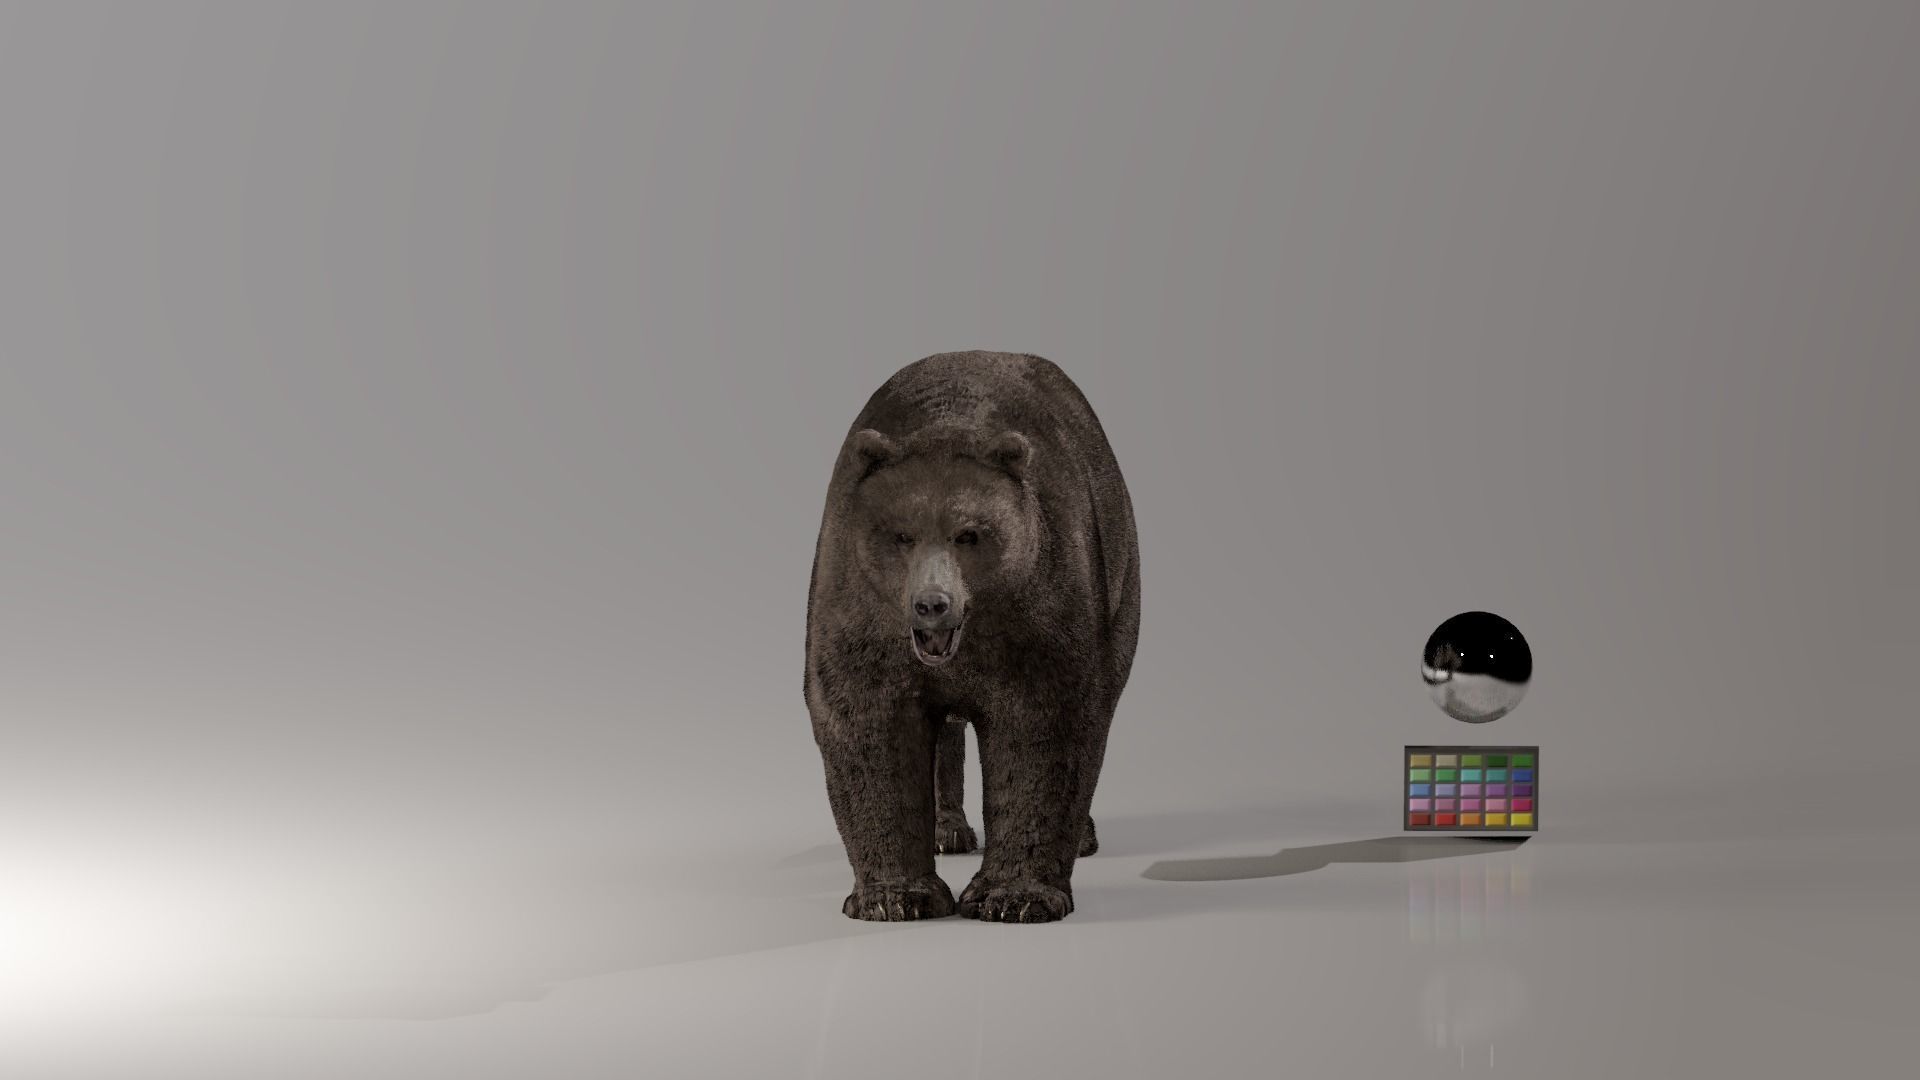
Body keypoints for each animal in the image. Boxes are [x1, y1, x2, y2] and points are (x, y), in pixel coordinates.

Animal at [804, 351, 1141, 923]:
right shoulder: (857, 604)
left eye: (969, 534)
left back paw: (1082, 837)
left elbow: (1043, 726)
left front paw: (1015, 896)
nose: (932, 603)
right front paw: (894, 896)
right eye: (901, 534)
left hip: (1121, 577)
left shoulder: (1040, 604)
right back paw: (949, 831)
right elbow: (868, 721)